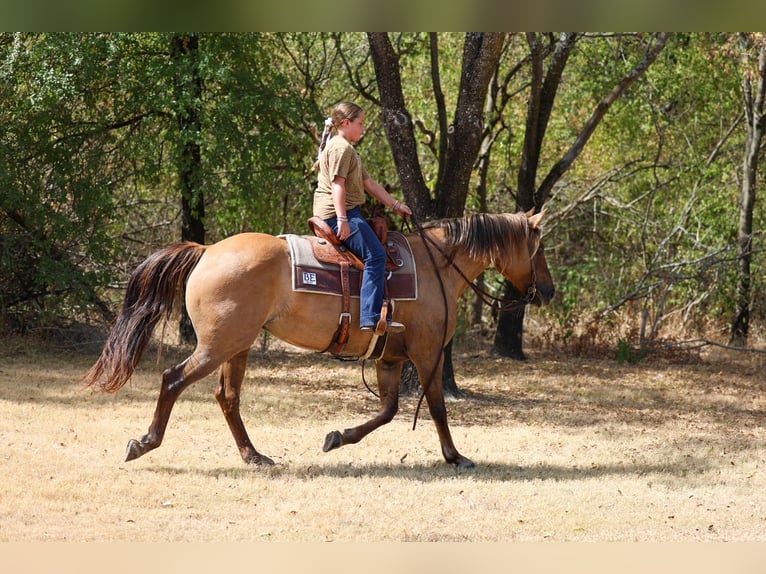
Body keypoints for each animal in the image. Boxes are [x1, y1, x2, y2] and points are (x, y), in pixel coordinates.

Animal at [83, 210, 554, 469]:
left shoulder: (389, 357)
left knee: (227, 397)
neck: (436, 264)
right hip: (216, 346)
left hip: (237, 346)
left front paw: (338, 437)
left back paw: (254, 456)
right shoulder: (427, 354)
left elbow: (387, 411)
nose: (548, 291)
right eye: (539, 248)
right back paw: (144, 443)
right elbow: (436, 407)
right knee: (174, 380)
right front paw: (455, 456)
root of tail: (207, 251)